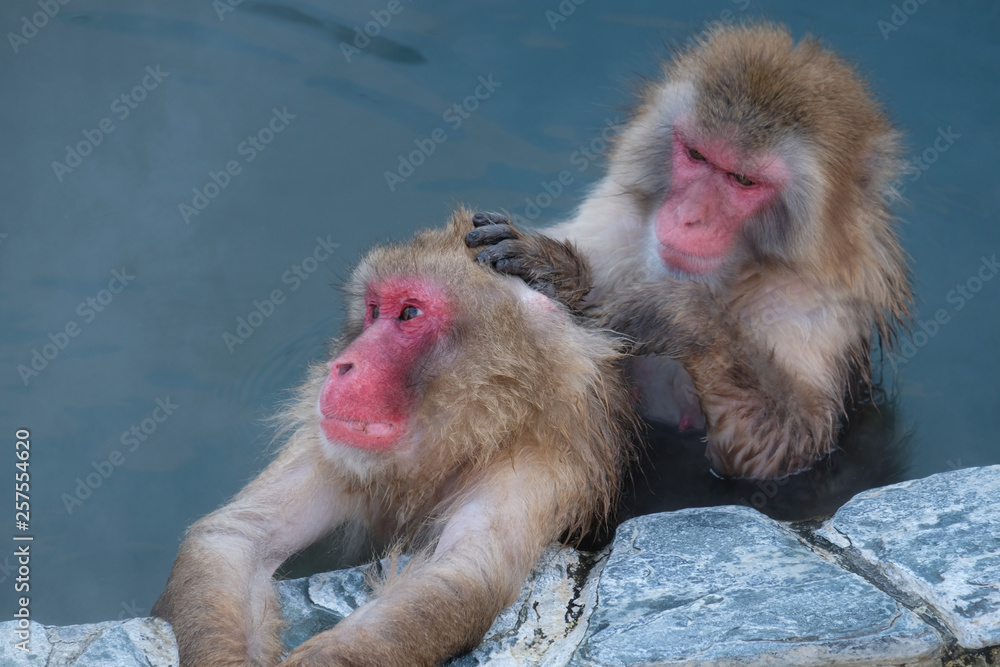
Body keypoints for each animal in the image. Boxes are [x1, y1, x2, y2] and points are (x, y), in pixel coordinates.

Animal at [151, 208, 635, 667]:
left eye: (409, 313)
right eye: (372, 310)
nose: (341, 366)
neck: (466, 437)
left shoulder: (541, 462)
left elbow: (460, 576)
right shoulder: (331, 444)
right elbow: (233, 538)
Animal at [466, 22, 913, 480]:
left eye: (743, 180)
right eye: (696, 154)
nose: (689, 217)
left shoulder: (815, 306)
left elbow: (785, 448)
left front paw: (676, 314)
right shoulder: (614, 222)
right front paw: (559, 271)